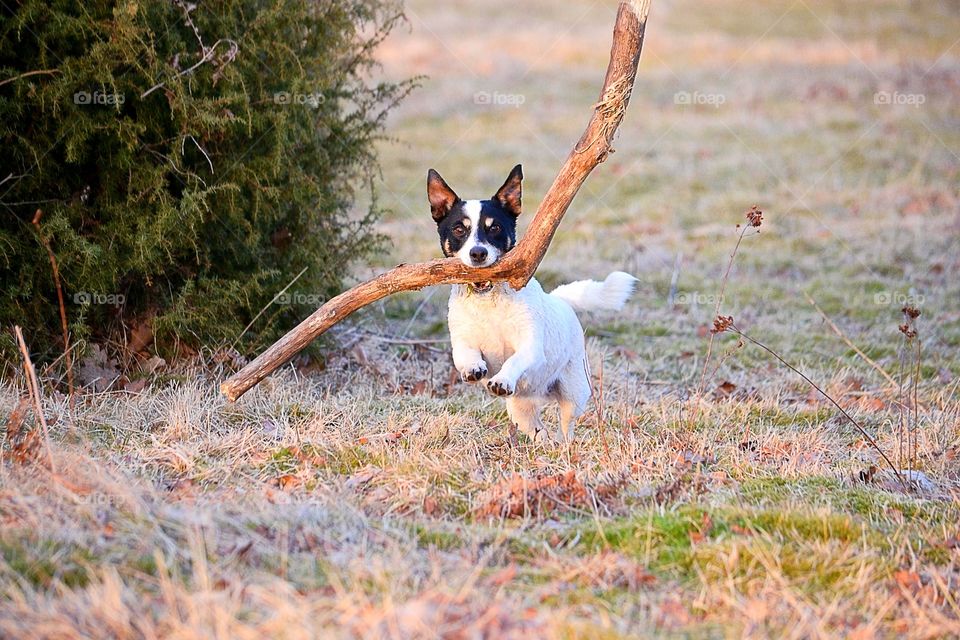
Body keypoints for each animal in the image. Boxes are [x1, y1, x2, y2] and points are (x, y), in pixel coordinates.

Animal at [428, 162, 636, 440]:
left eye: (494, 228)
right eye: (459, 229)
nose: (478, 253)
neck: (489, 302)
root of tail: (559, 299)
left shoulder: (529, 346)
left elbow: (514, 360)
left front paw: (502, 380)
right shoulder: (463, 341)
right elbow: (465, 356)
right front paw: (474, 369)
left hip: (574, 392)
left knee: (566, 424)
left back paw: (565, 443)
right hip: (520, 410)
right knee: (539, 432)